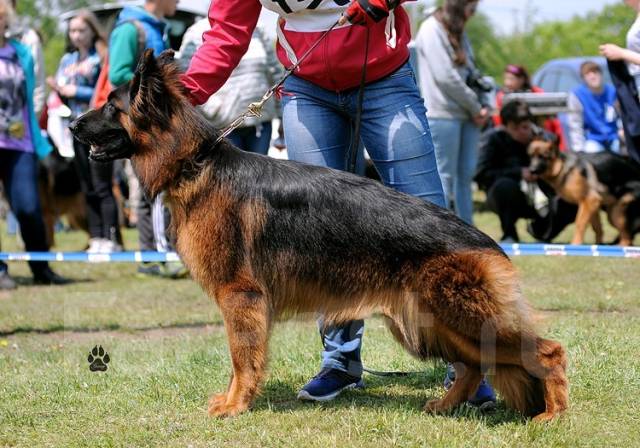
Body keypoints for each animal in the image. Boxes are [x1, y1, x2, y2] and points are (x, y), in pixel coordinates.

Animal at [71, 50, 568, 422]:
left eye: (111, 106)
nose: (73, 123)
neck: (196, 163)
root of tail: (488, 243)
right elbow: (240, 358)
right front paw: (234, 400)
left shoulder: (240, 297)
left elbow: (241, 358)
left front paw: (235, 405)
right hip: (430, 321)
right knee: (473, 364)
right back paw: (446, 404)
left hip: (456, 316)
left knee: (547, 352)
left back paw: (552, 414)